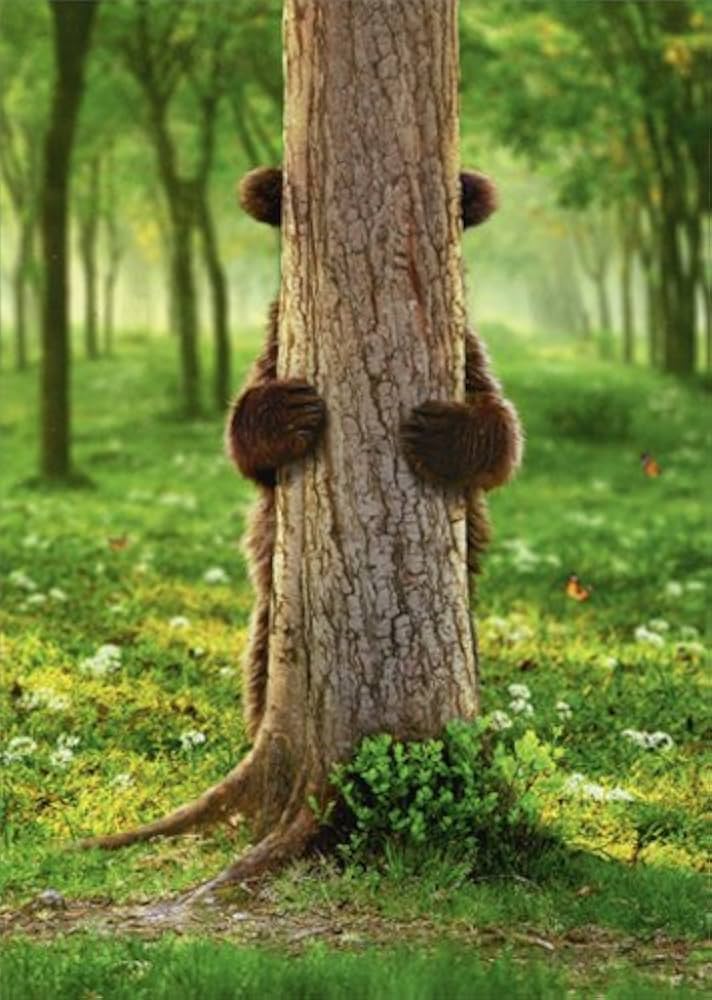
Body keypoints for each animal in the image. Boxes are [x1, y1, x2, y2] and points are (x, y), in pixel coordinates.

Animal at [227, 166, 522, 741]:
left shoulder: (466, 356)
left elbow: (501, 432)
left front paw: (438, 432)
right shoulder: (276, 348)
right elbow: (246, 443)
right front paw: (289, 410)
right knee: (262, 657)